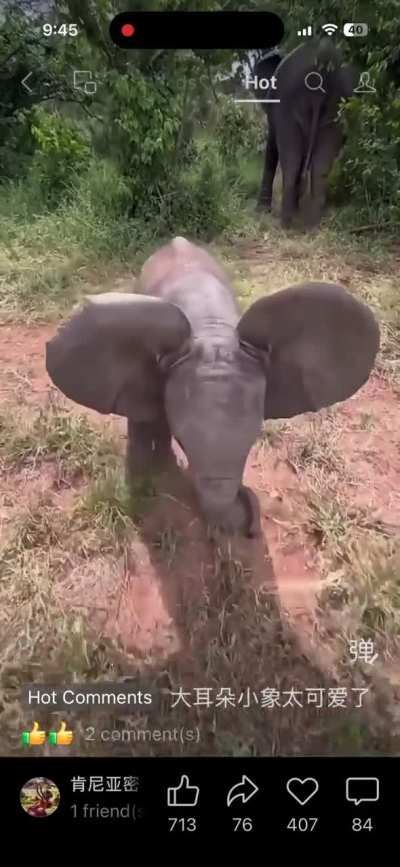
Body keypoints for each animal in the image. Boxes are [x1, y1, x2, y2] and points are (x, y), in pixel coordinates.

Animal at [254, 40, 359, 228]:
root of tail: (323, 66)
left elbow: (272, 148)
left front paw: (261, 211)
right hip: (340, 106)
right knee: (319, 165)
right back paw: (311, 226)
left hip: (287, 103)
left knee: (292, 161)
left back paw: (286, 225)